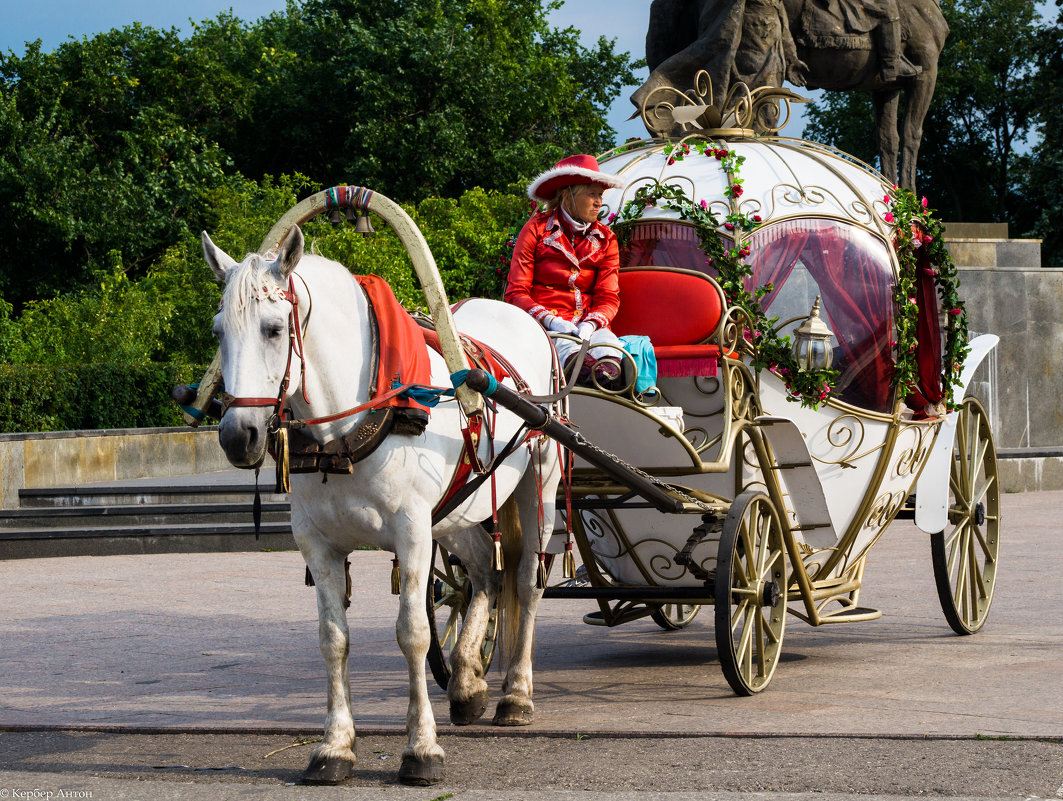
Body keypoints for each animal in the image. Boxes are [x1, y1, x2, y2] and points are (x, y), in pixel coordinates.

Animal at [201, 222, 561, 781]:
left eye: (273, 329)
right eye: (219, 332)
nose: (239, 437)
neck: (342, 433)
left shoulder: (411, 532)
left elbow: (412, 633)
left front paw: (421, 748)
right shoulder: (318, 544)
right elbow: (333, 638)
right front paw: (334, 746)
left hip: (539, 479)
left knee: (526, 580)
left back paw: (516, 694)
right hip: (456, 510)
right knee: (484, 573)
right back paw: (467, 681)